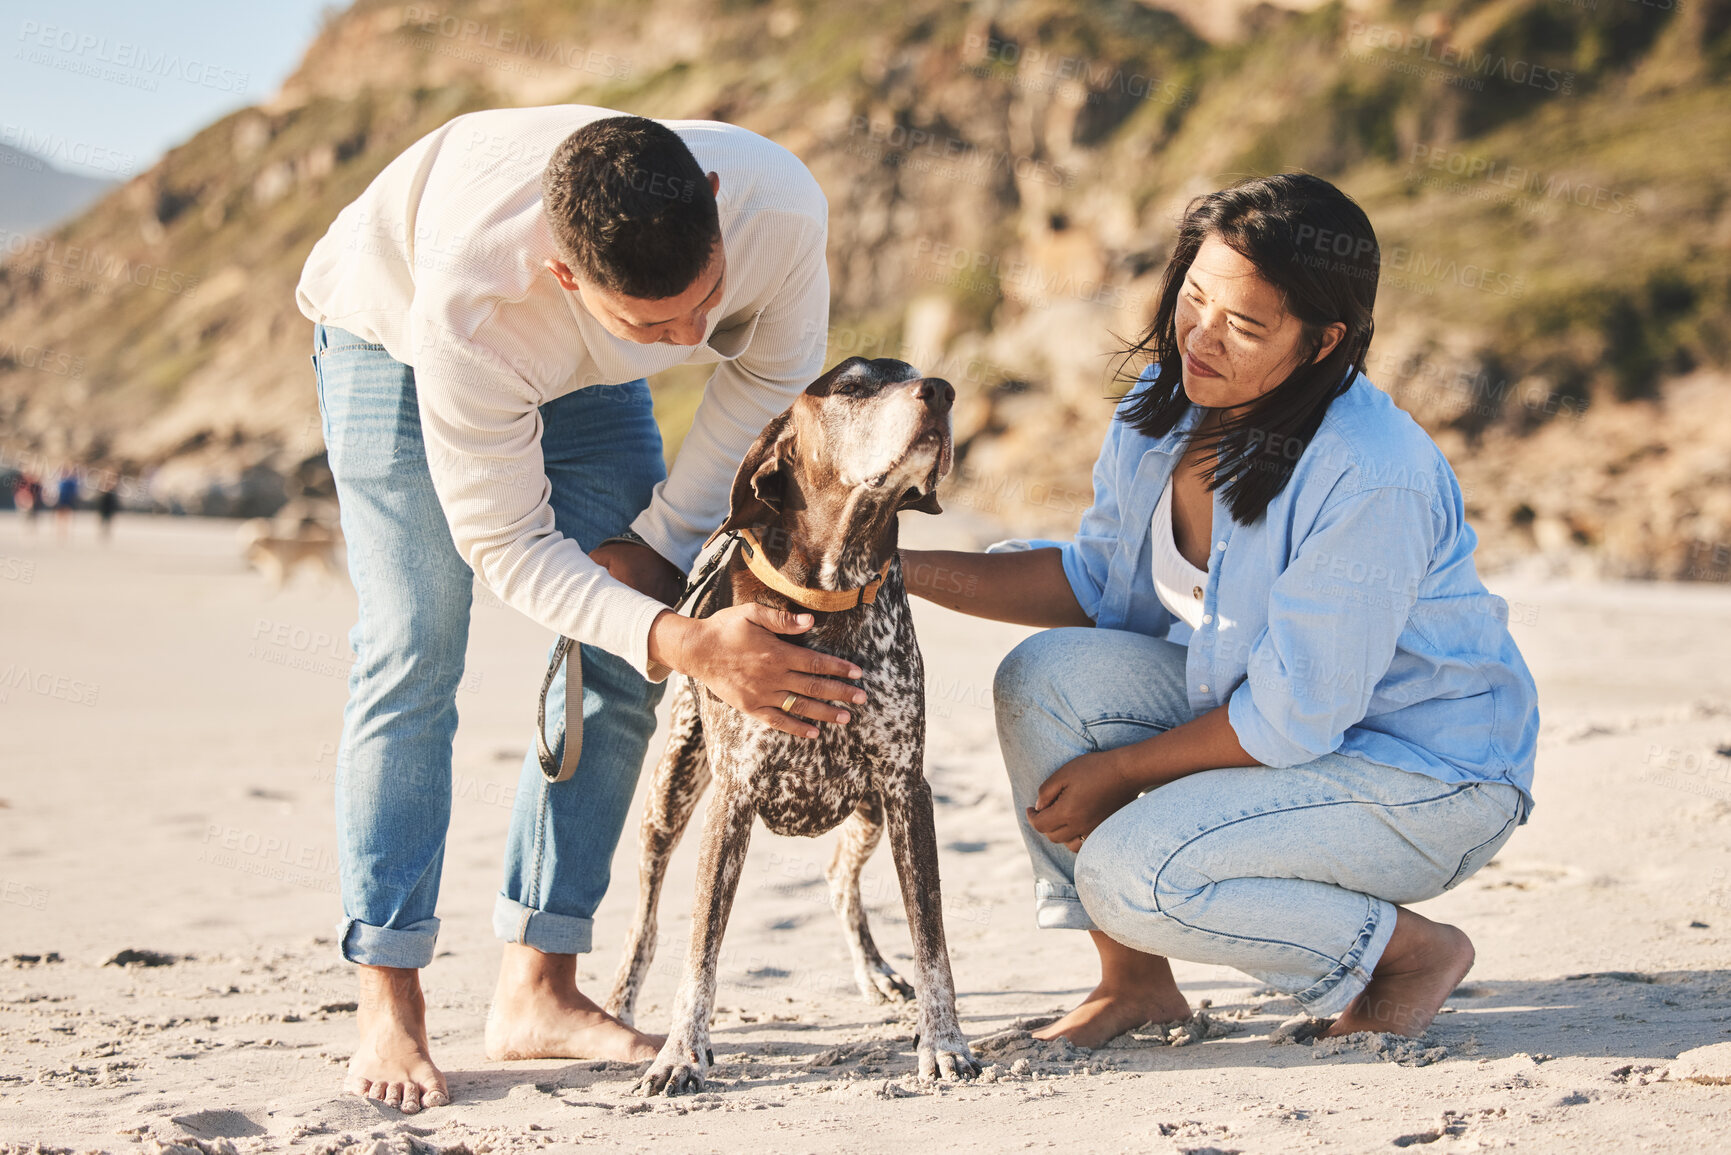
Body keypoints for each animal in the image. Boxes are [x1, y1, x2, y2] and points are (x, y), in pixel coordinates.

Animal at [612, 356, 983, 1101]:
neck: (832, 595)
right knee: (646, 917)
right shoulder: (732, 799)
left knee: (839, 877)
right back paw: (621, 1003)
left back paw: (874, 971)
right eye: (852, 386)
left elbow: (931, 940)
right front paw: (680, 1054)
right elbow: (699, 950)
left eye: (913, 373)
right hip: (670, 794)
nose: (941, 392)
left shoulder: (907, 789)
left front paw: (944, 1043)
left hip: (869, 811)